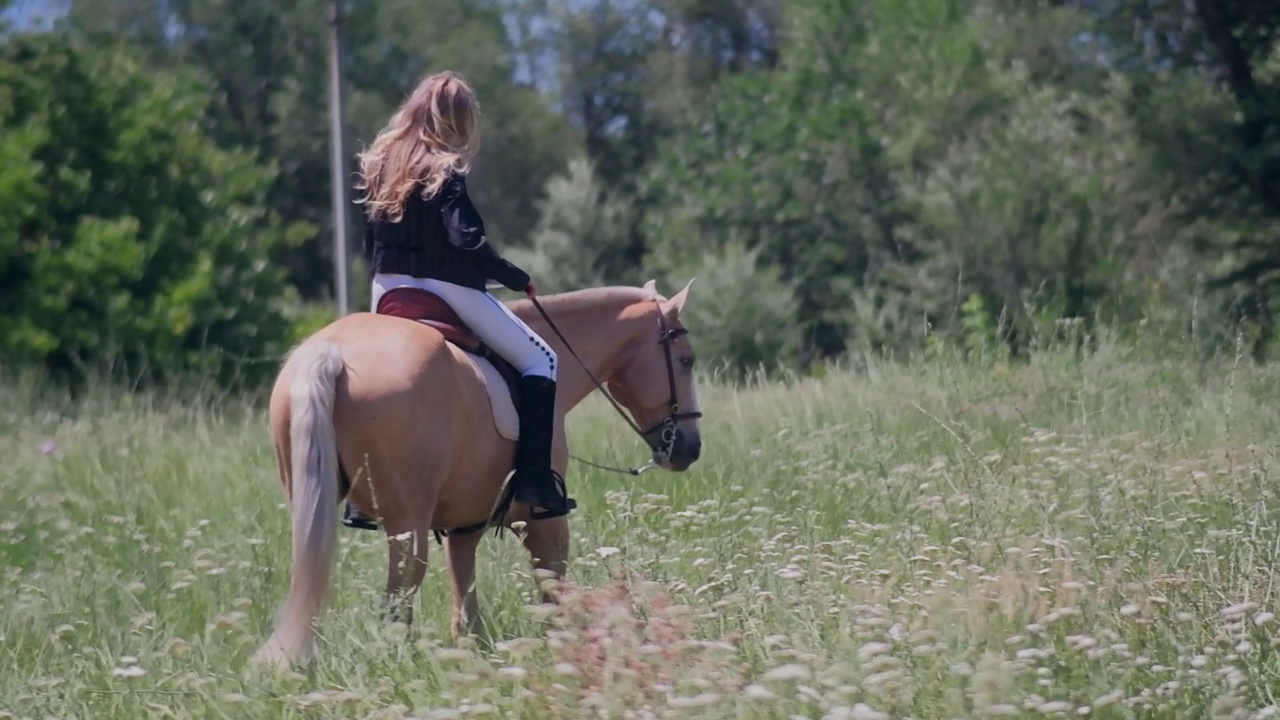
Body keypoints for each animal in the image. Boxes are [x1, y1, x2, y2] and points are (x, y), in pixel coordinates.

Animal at [250, 278, 706, 666]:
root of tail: (333, 352)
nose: (688, 448)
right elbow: (552, 588)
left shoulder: (463, 526)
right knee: (400, 593)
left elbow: (464, 599)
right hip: (408, 522)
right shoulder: (544, 520)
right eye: (686, 360)